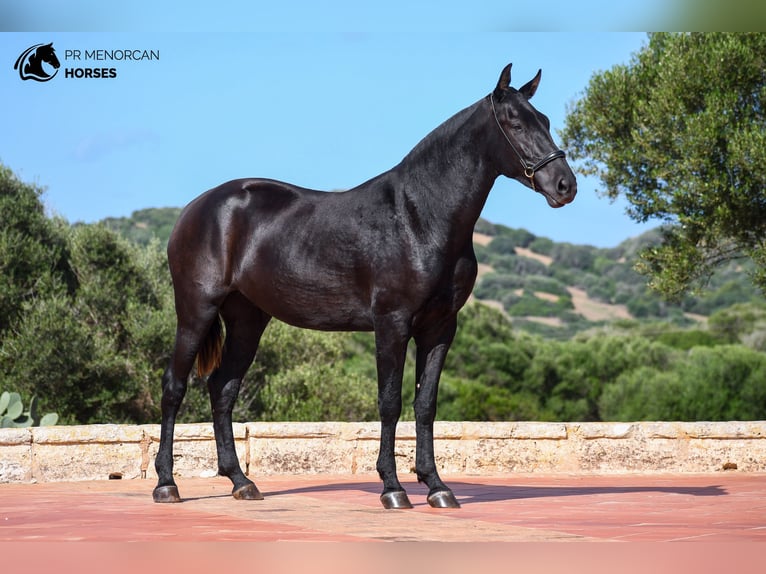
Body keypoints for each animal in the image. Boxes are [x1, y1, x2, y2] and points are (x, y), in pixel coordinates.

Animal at [154, 65, 576, 510]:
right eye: (516, 123)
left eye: (545, 120)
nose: (565, 185)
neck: (418, 217)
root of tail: (197, 208)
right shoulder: (391, 323)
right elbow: (389, 402)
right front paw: (393, 488)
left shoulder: (441, 327)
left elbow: (425, 404)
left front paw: (437, 486)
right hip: (196, 310)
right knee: (174, 386)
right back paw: (167, 484)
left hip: (247, 319)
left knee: (223, 388)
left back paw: (241, 482)